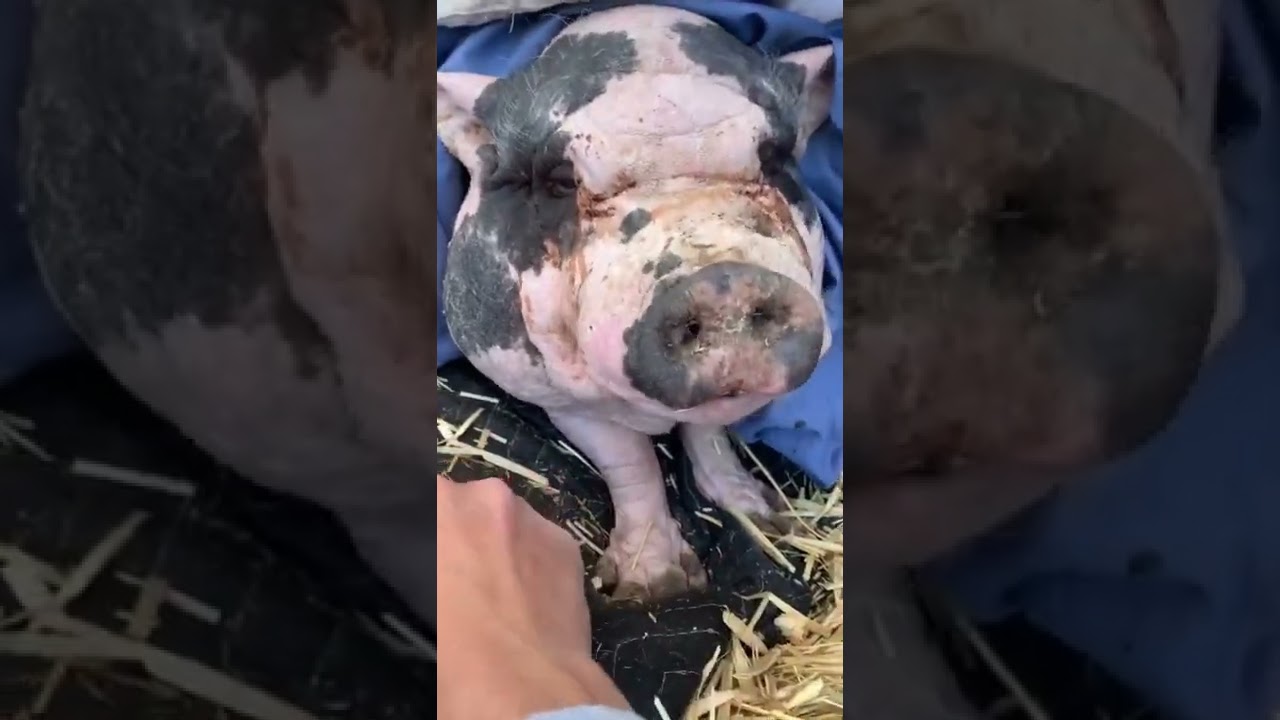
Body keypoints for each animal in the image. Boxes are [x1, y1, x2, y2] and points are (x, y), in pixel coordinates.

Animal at [436, 5, 836, 600]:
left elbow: (708, 430)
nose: (723, 280)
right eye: (560, 181)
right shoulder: (541, 387)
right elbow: (628, 456)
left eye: (773, 159)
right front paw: (653, 588)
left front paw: (764, 516)